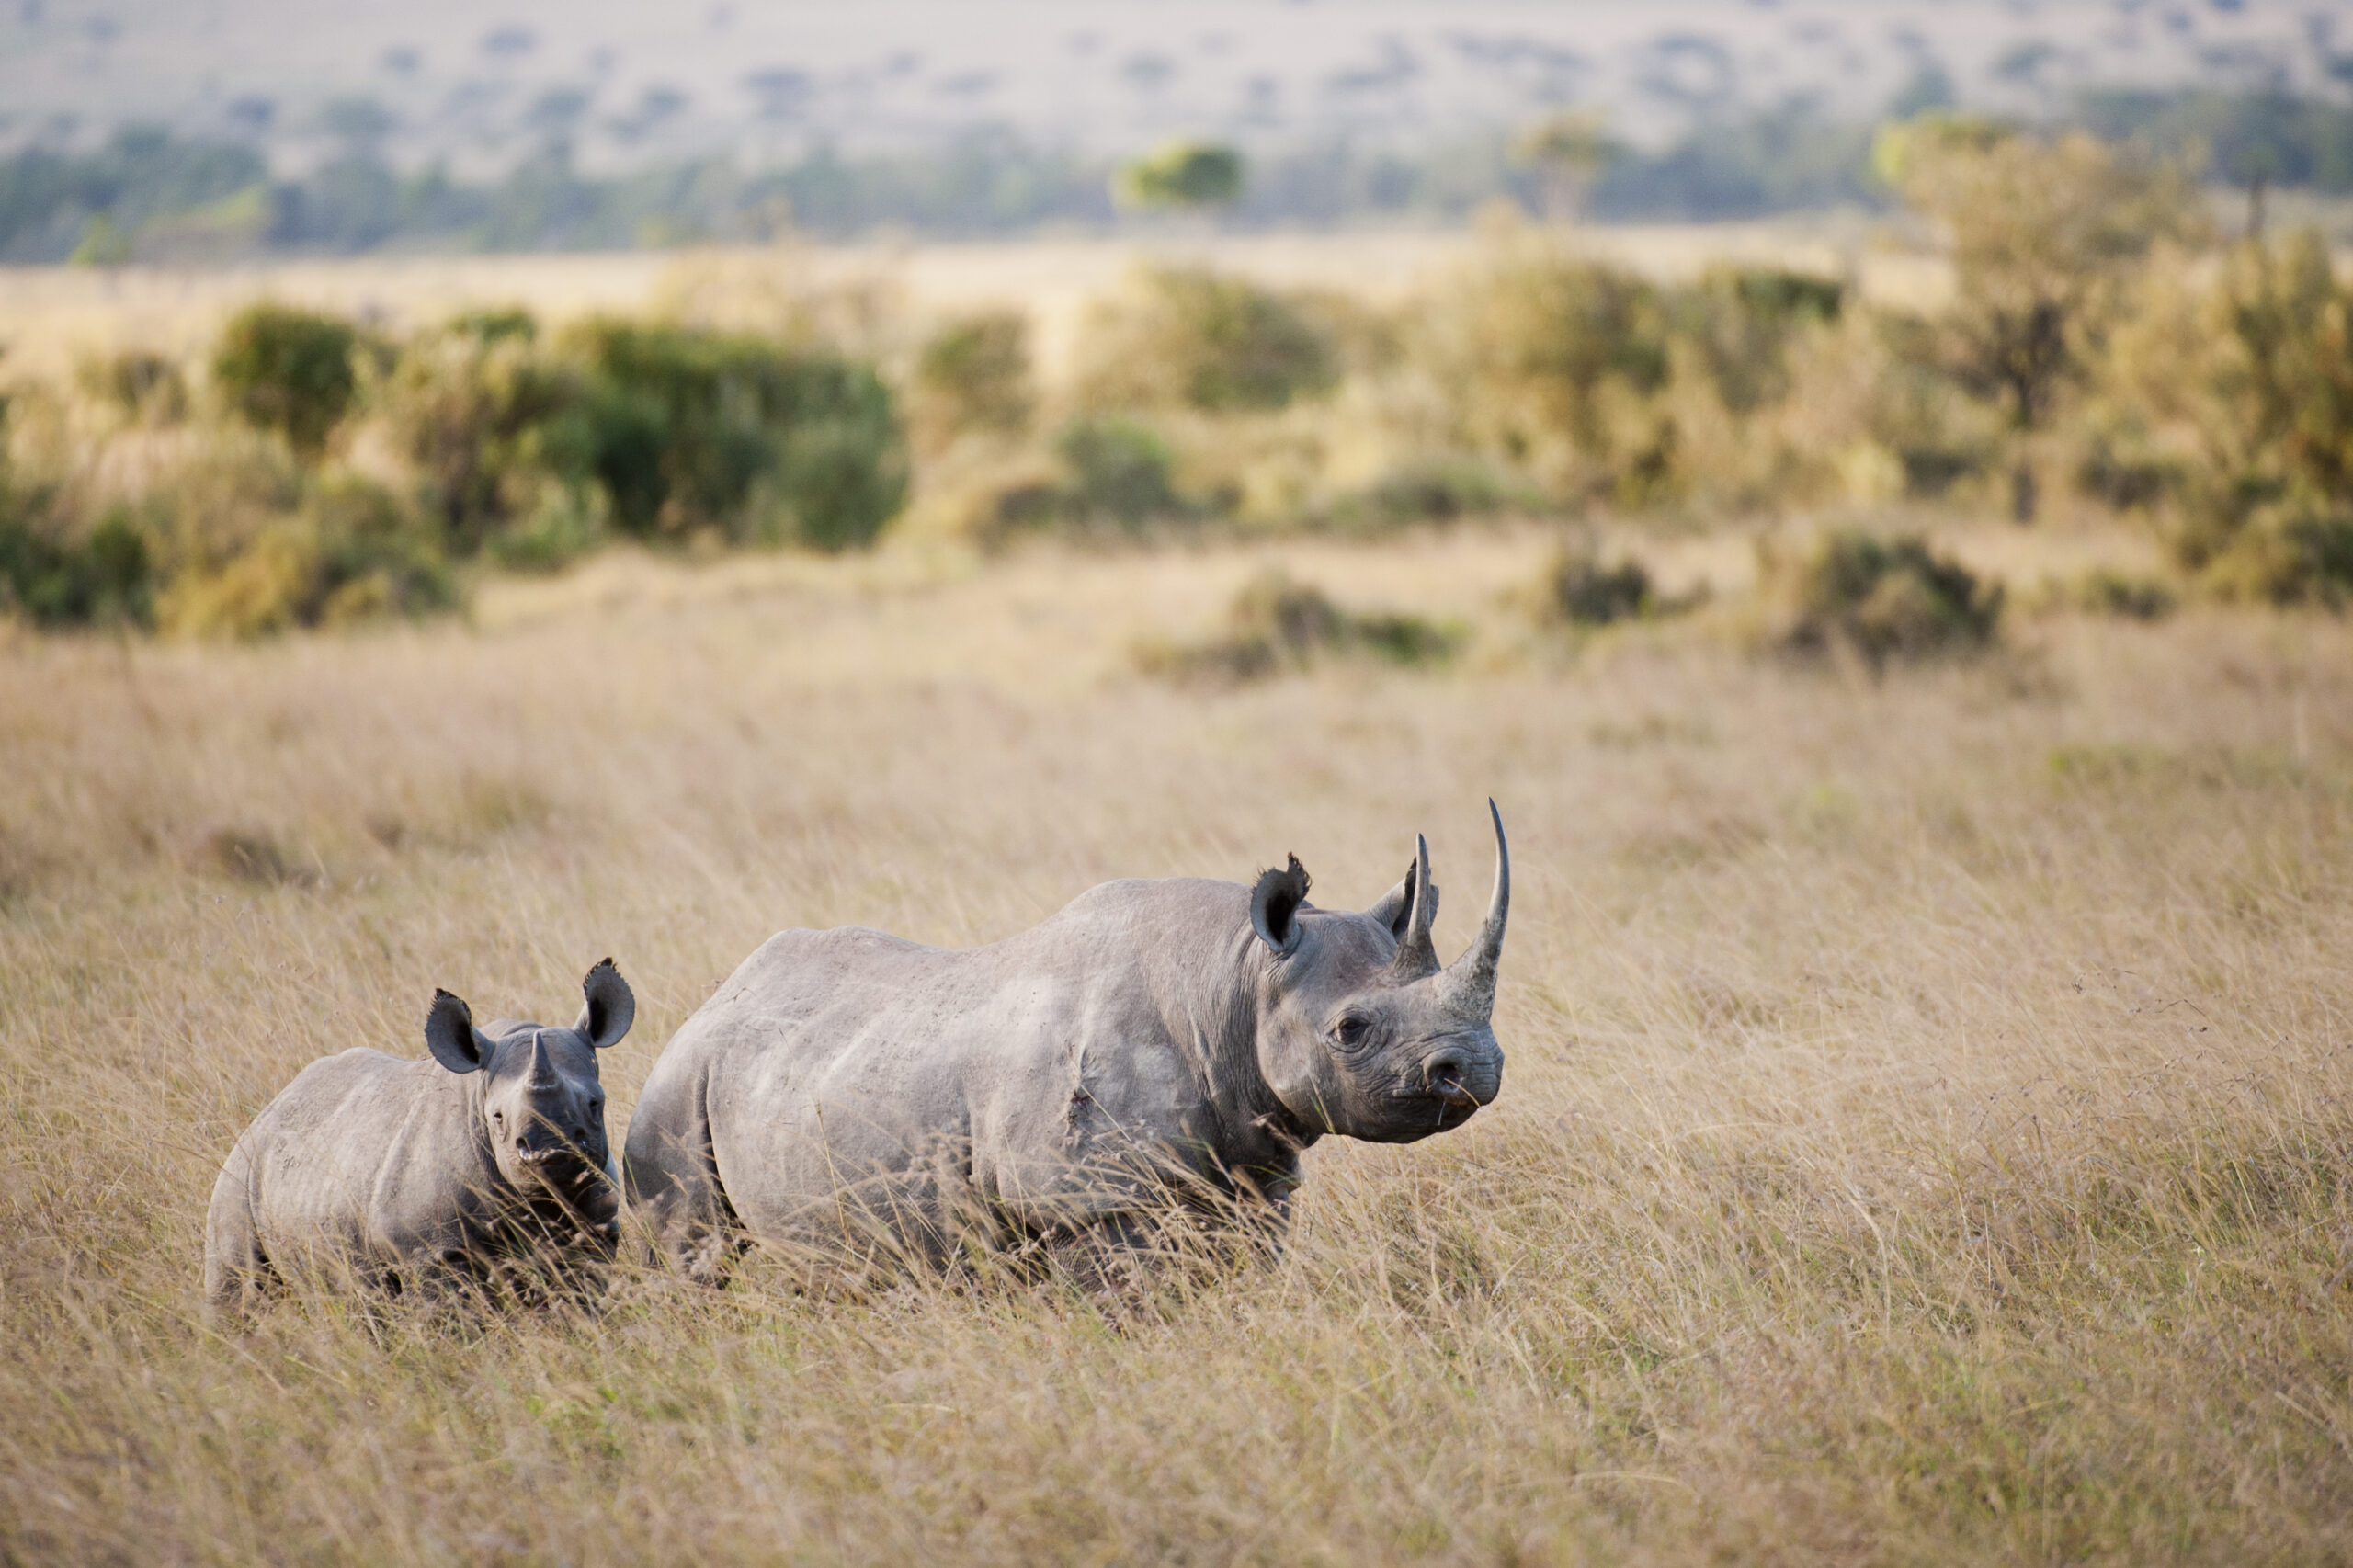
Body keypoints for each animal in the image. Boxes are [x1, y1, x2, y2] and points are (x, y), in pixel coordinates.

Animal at [204, 959, 635, 1312]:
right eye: (497, 1118)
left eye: (595, 1104)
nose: (550, 1152)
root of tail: (271, 1106)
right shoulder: (426, 1249)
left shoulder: (595, 1229)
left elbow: (580, 1298)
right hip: (239, 1174)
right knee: (240, 1287)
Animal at [625, 806, 1509, 1286]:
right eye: (1350, 1031)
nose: (1478, 1069)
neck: (1235, 979)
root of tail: (711, 1002)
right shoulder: (1084, 1195)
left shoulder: (1252, 1172)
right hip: (675, 1087)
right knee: (697, 1253)